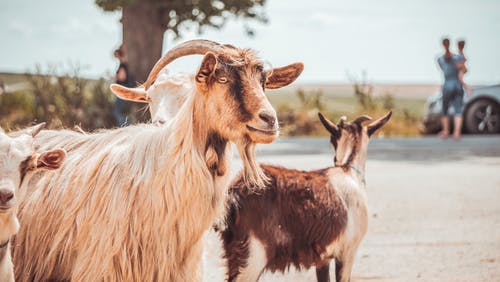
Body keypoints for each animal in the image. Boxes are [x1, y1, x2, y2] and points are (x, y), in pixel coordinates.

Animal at [221, 111, 392, 280]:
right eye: (332, 139)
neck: (348, 171)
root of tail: (235, 192)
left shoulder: (323, 257)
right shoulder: (347, 252)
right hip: (253, 256)